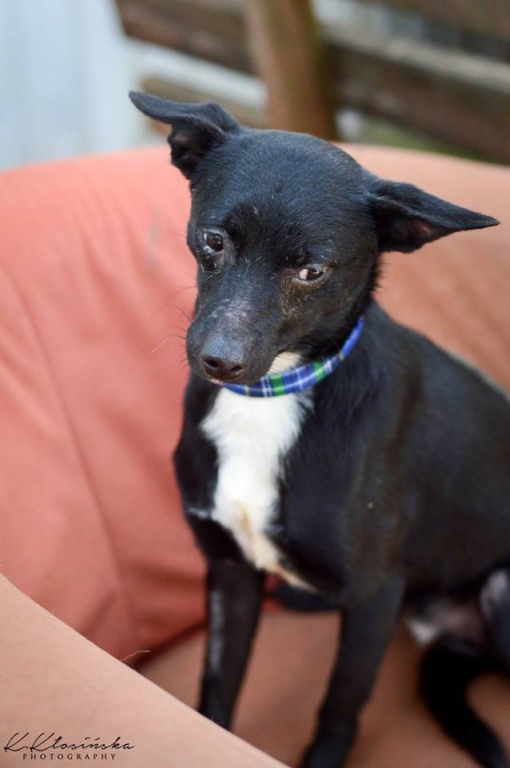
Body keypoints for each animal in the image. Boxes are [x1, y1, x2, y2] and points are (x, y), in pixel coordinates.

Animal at [130, 91, 510, 768]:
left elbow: (338, 707)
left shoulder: (374, 597)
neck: (271, 399)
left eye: (312, 271)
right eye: (213, 239)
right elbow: (216, 688)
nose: (219, 361)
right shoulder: (230, 570)